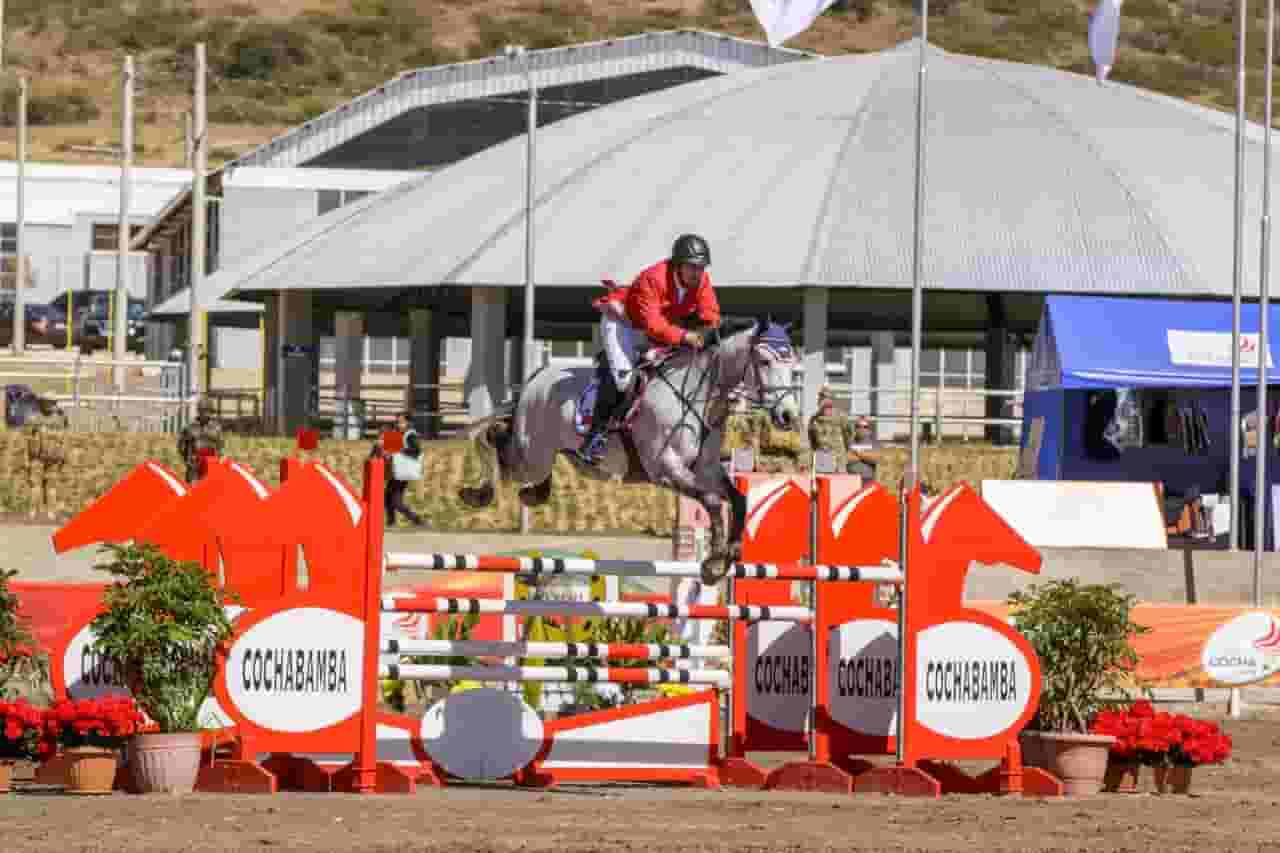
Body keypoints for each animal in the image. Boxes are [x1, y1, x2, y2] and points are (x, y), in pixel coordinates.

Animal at [458, 315, 798, 581]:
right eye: (765, 361)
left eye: (793, 365)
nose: (788, 416)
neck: (697, 393)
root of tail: (536, 377)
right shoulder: (666, 469)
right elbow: (714, 501)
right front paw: (714, 564)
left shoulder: (706, 469)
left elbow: (738, 500)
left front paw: (730, 554)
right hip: (533, 453)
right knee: (496, 440)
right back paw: (477, 493)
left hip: (544, 455)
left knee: (523, 464)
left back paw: (530, 493)